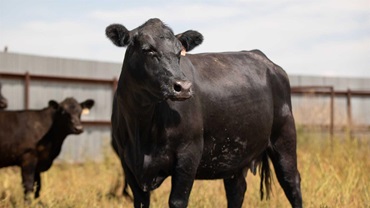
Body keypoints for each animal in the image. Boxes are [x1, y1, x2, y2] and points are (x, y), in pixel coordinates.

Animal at [105, 18, 302, 208]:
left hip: (284, 138)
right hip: (236, 156)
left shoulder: (189, 153)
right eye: (148, 50)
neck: (142, 126)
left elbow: (177, 201)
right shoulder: (128, 163)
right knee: (236, 191)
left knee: (291, 182)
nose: (183, 87)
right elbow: (140, 201)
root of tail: (264, 59)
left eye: (179, 53)